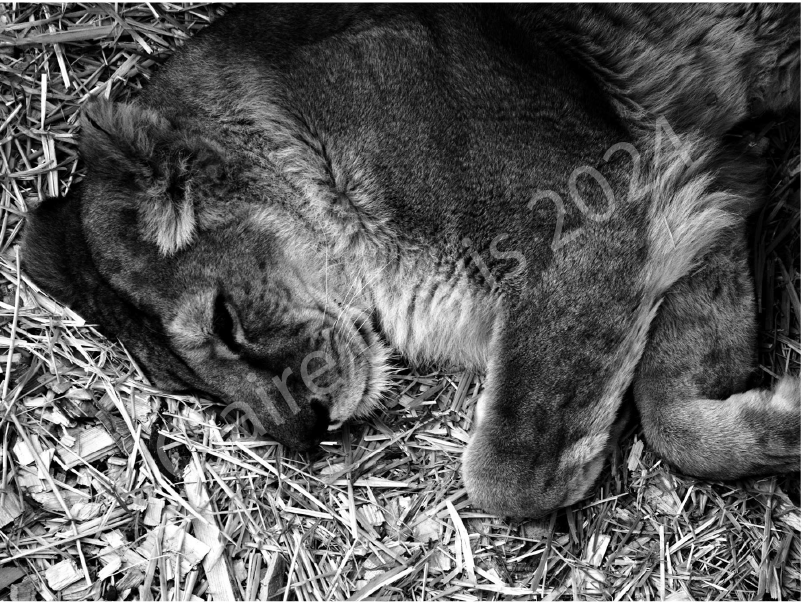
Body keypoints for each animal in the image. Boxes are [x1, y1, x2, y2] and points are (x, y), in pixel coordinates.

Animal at [21, 3, 801, 518]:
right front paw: (769, 422)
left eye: (224, 324)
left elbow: (505, 473)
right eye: (192, 391)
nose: (306, 431)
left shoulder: (597, 206)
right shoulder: (691, 194)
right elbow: (675, 408)